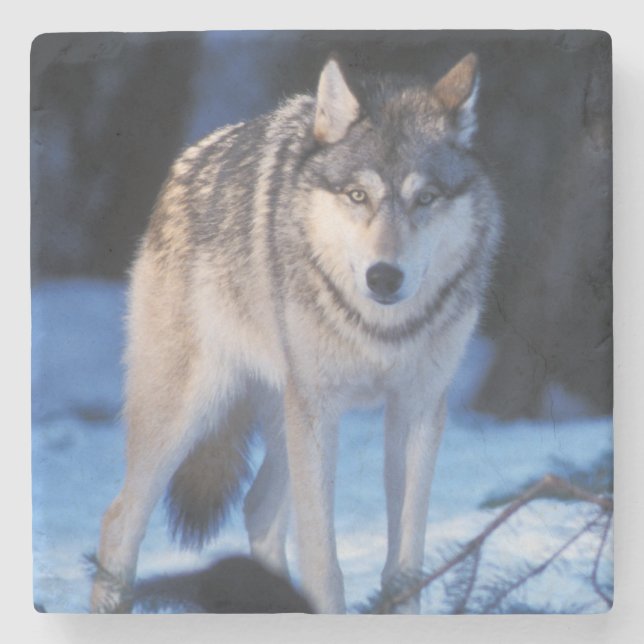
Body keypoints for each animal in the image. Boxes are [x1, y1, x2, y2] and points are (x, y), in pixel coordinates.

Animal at [91, 52, 501, 614]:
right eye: (358, 195)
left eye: (426, 198)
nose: (384, 276)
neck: (380, 330)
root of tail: (188, 160)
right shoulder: (319, 409)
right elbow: (324, 565)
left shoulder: (417, 408)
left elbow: (404, 567)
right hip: (192, 414)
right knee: (119, 522)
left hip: (282, 419)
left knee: (258, 509)